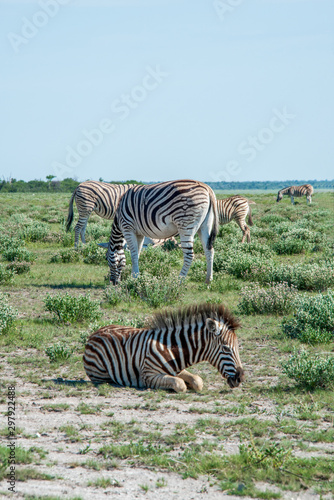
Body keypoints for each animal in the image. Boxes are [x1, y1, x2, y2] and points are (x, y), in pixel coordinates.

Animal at [83, 302, 245, 392]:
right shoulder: (149, 375)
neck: (174, 349)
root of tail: (95, 332)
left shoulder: (178, 370)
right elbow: (180, 384)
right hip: (101, 374)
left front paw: (191, 383)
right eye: (226, 348)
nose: (240, 378)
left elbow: (197, 381)